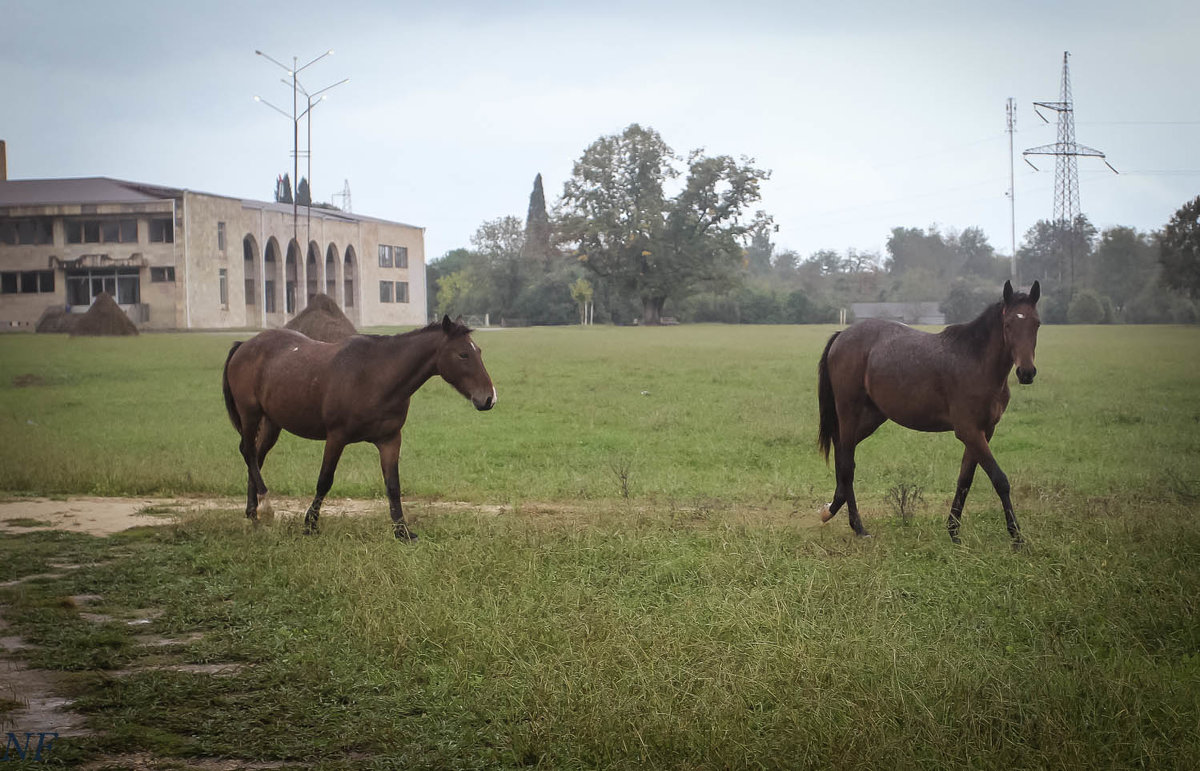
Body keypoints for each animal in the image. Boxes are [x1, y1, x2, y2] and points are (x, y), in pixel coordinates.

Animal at [222, 314, 496, 538]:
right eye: (463, 354)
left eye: (480, 351)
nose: (489, 398)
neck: (375, 375)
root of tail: (243, 345)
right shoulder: (336, 437)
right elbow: (325, 480)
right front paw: (310, 524)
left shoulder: (390, 440)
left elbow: (393, 485)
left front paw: (402, 532)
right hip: (251, 414)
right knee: (248, 452)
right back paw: (266, 507)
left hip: (272, 422)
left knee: (256, 456)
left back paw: (253, 513)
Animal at [820, 278, 1036, 542]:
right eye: (1008, 324)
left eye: (1037, 323)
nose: (1026, 372)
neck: (977, 362)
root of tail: (842, 335)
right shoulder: (969, 431)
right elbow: (999, 480)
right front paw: (1016, 537)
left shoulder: (984, 432)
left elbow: (965, 480)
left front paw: (953, 532)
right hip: (850, 412)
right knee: (847, 464)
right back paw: (857, 526)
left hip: (873, 416)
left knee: (842, 454)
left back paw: (833, 507)